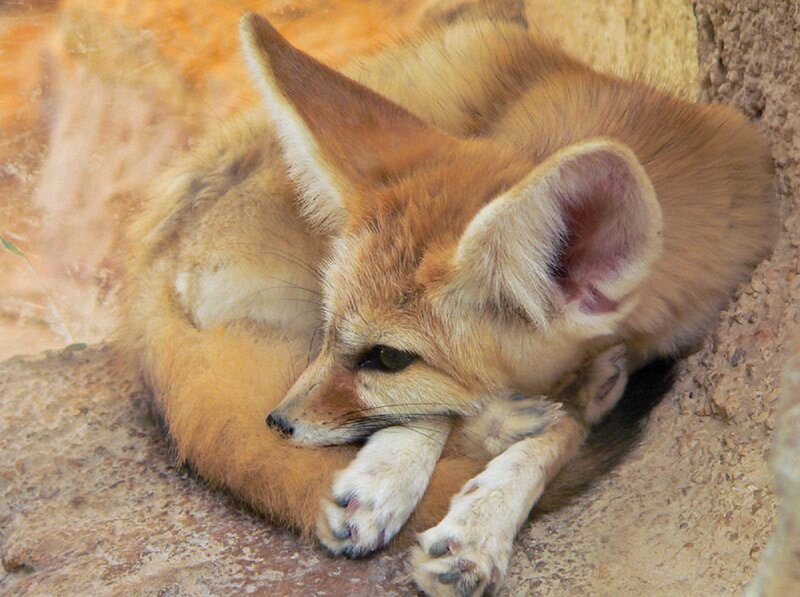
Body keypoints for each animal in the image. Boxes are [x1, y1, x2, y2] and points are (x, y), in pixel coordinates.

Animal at [118, 9, 777, 597]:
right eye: (330, 332)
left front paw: (482, 523)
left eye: (387, 359)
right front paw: (395, 479)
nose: (277, 422)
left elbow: (543, 429)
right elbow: (437, 412)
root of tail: (149, 266)